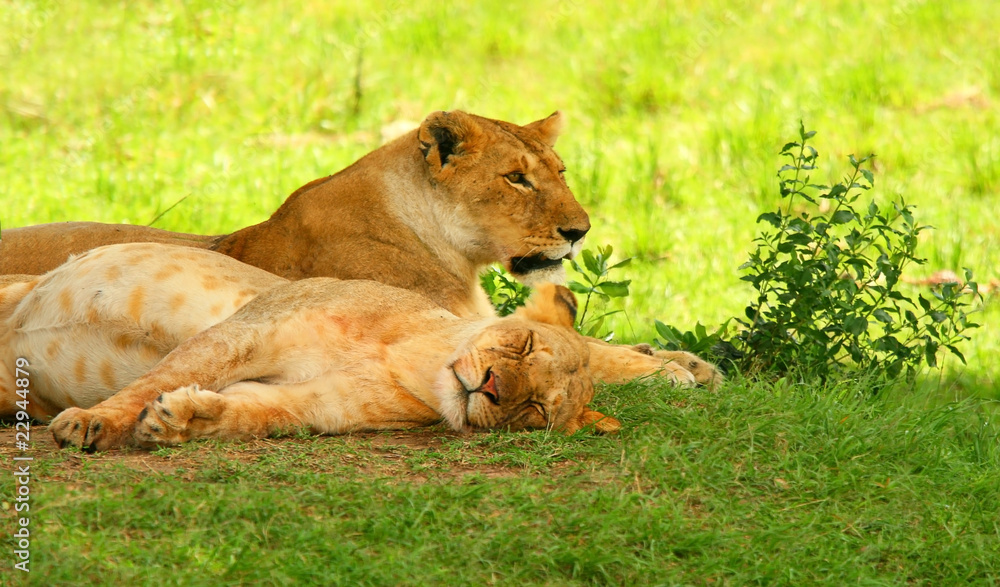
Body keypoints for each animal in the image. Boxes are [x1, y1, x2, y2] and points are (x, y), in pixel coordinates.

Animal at [0, 109, 720, 387]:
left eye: (560, 170)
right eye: (516, 177)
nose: (580, 232)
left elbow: (596, 342)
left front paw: (675, 355)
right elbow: (586, 351)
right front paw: (672, 368)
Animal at [0, 243, 712, 451]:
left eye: (535, 411)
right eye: (521, 344)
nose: (490, 389)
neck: (410, 360)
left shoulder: (320, 403)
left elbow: (254, 415)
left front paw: (182, 418)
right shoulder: (246, 331)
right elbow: (150, 379)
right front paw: (95, 422)